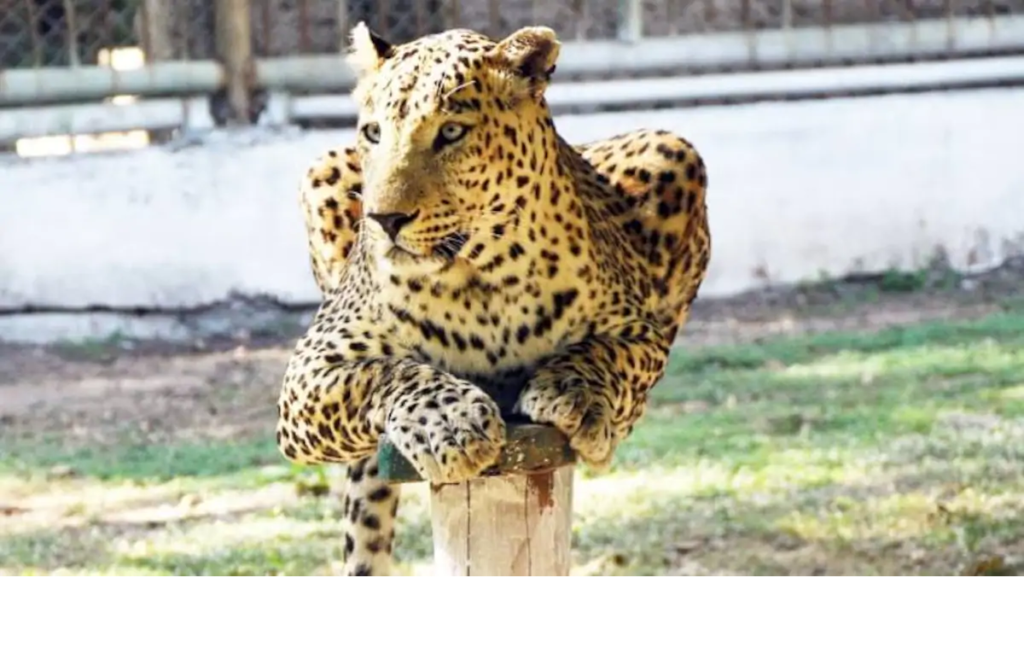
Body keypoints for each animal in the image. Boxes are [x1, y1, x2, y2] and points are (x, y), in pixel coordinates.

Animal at [276, 22, 711, 576]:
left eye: (451, 133)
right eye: (374, 133)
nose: (383, 220)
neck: (481, 276)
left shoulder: (639, 331)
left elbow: (608, 354)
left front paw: (574, 393)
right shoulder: (310, 371)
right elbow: (385, 371)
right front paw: (448, 422)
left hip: (673, 151)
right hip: (323, 172)